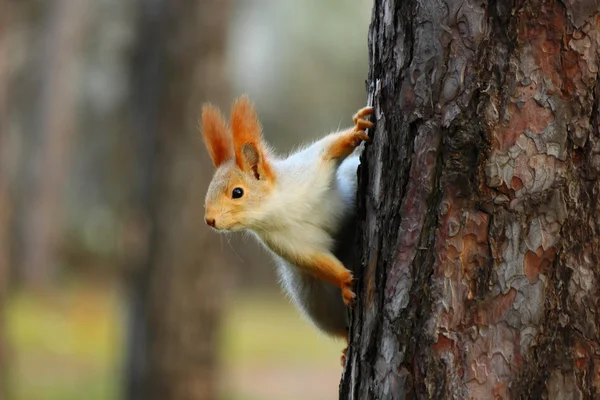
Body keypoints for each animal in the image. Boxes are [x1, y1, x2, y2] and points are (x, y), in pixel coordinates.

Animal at [199, 95, 372, 364]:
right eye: (209, 191)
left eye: (237, 192)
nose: (210, 220)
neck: (277, 207)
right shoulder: (286, 242)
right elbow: (315, 261)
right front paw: (345, 281)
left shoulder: (306, 170)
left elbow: (329, 150)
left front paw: (356, 129)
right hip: (314, 299)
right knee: (336, 324)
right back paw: (346, 344)